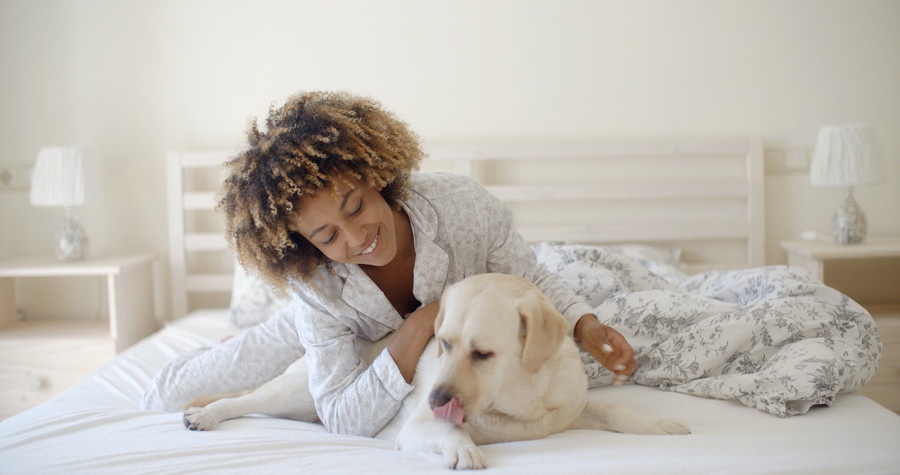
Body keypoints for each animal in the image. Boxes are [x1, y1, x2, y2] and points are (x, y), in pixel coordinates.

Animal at [183, 274, 688, 470]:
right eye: (442, 344)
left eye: (482, 354)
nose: (433, 398)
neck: (518, 404)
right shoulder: (419, 425)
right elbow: (448, 431)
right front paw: (463, 448)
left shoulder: (573, 408)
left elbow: (619, 412)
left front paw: (661, 425)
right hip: (295, 393)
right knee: (241, 400)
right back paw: (204, 415)